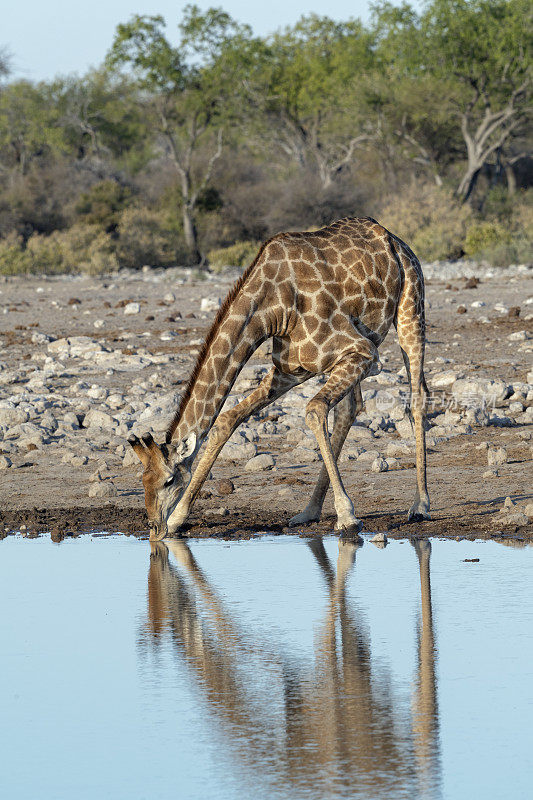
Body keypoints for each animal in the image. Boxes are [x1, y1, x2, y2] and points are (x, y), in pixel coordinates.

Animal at [128, 216, 428, 540]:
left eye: (168, 480)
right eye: (142, 481)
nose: (154, 527)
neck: (272, 308)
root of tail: (393, 238)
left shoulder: (362, 350)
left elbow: (313, 410)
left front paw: (348, 516)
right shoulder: (291, 368)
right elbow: (226, 421)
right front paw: (177, 519)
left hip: (410, 309)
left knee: (417, 398)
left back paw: (420, 506)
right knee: (349, 409)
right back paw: (309, 511)